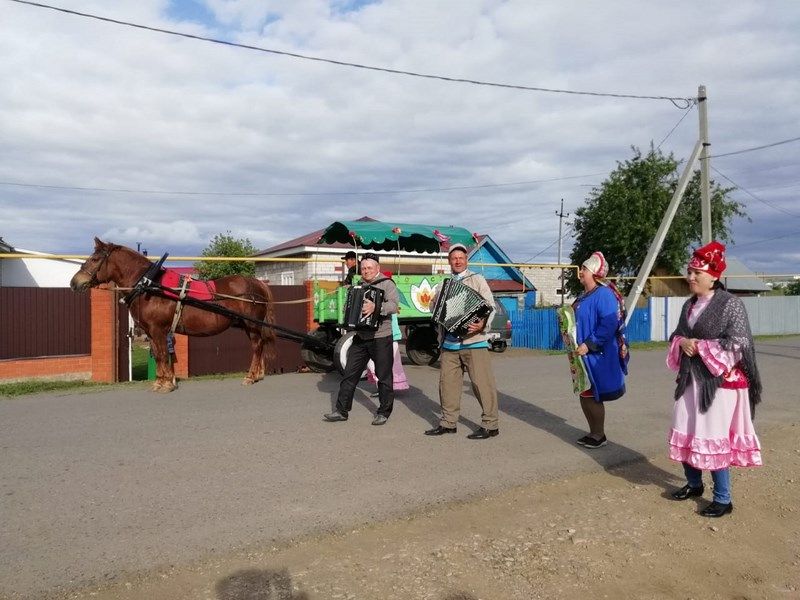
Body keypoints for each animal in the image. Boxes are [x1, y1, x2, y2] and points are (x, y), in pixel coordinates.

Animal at [69, 239, 276, 394]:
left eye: (95, 259)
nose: (74, 283)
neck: (150, 285)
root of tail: (258, 283)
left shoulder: (158, 329)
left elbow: (161, 354)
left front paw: (167, 384)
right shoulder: (151, 332)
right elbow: (158, 354)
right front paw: (160, 381)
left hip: (252, 325)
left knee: (257, 346)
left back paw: (250, 376)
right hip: (249, 326)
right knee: (259, 346)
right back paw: (258, 374)